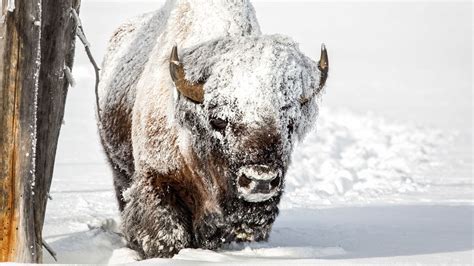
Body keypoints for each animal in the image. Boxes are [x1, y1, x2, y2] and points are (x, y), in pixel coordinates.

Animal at [98, 0, 328, 258]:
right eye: (219, 120)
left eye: (289, 123)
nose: (260, 180)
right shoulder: (156, 178)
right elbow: (167, 233)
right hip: (119, 169)